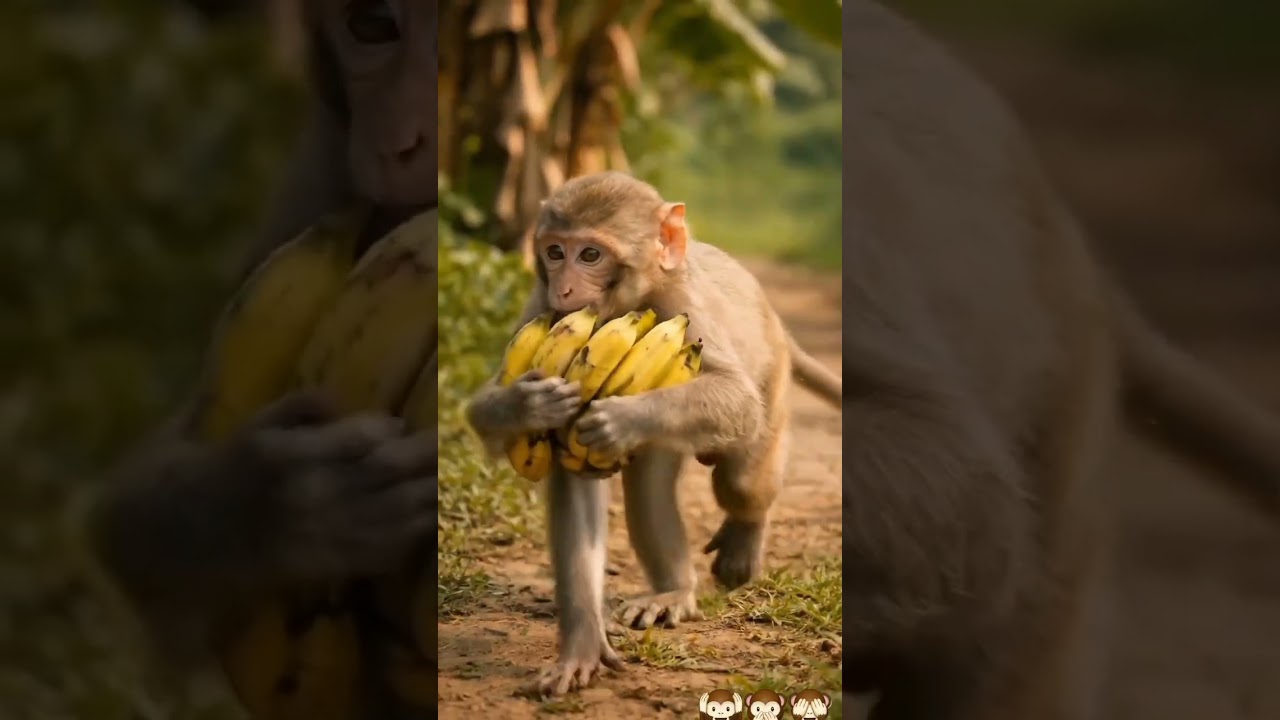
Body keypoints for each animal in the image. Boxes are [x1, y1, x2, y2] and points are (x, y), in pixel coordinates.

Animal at [464, 171, 844, 696]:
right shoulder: (540, 309)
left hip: (774, 378)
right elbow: (501, 420)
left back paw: (742, 541)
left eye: (590, 254)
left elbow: (737, 397)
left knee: (743, 481)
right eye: (555, 252)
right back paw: (673, 590)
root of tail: (776, 321)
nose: (565, 289)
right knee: (647, 484)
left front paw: (618, 418)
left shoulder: (683, 308)